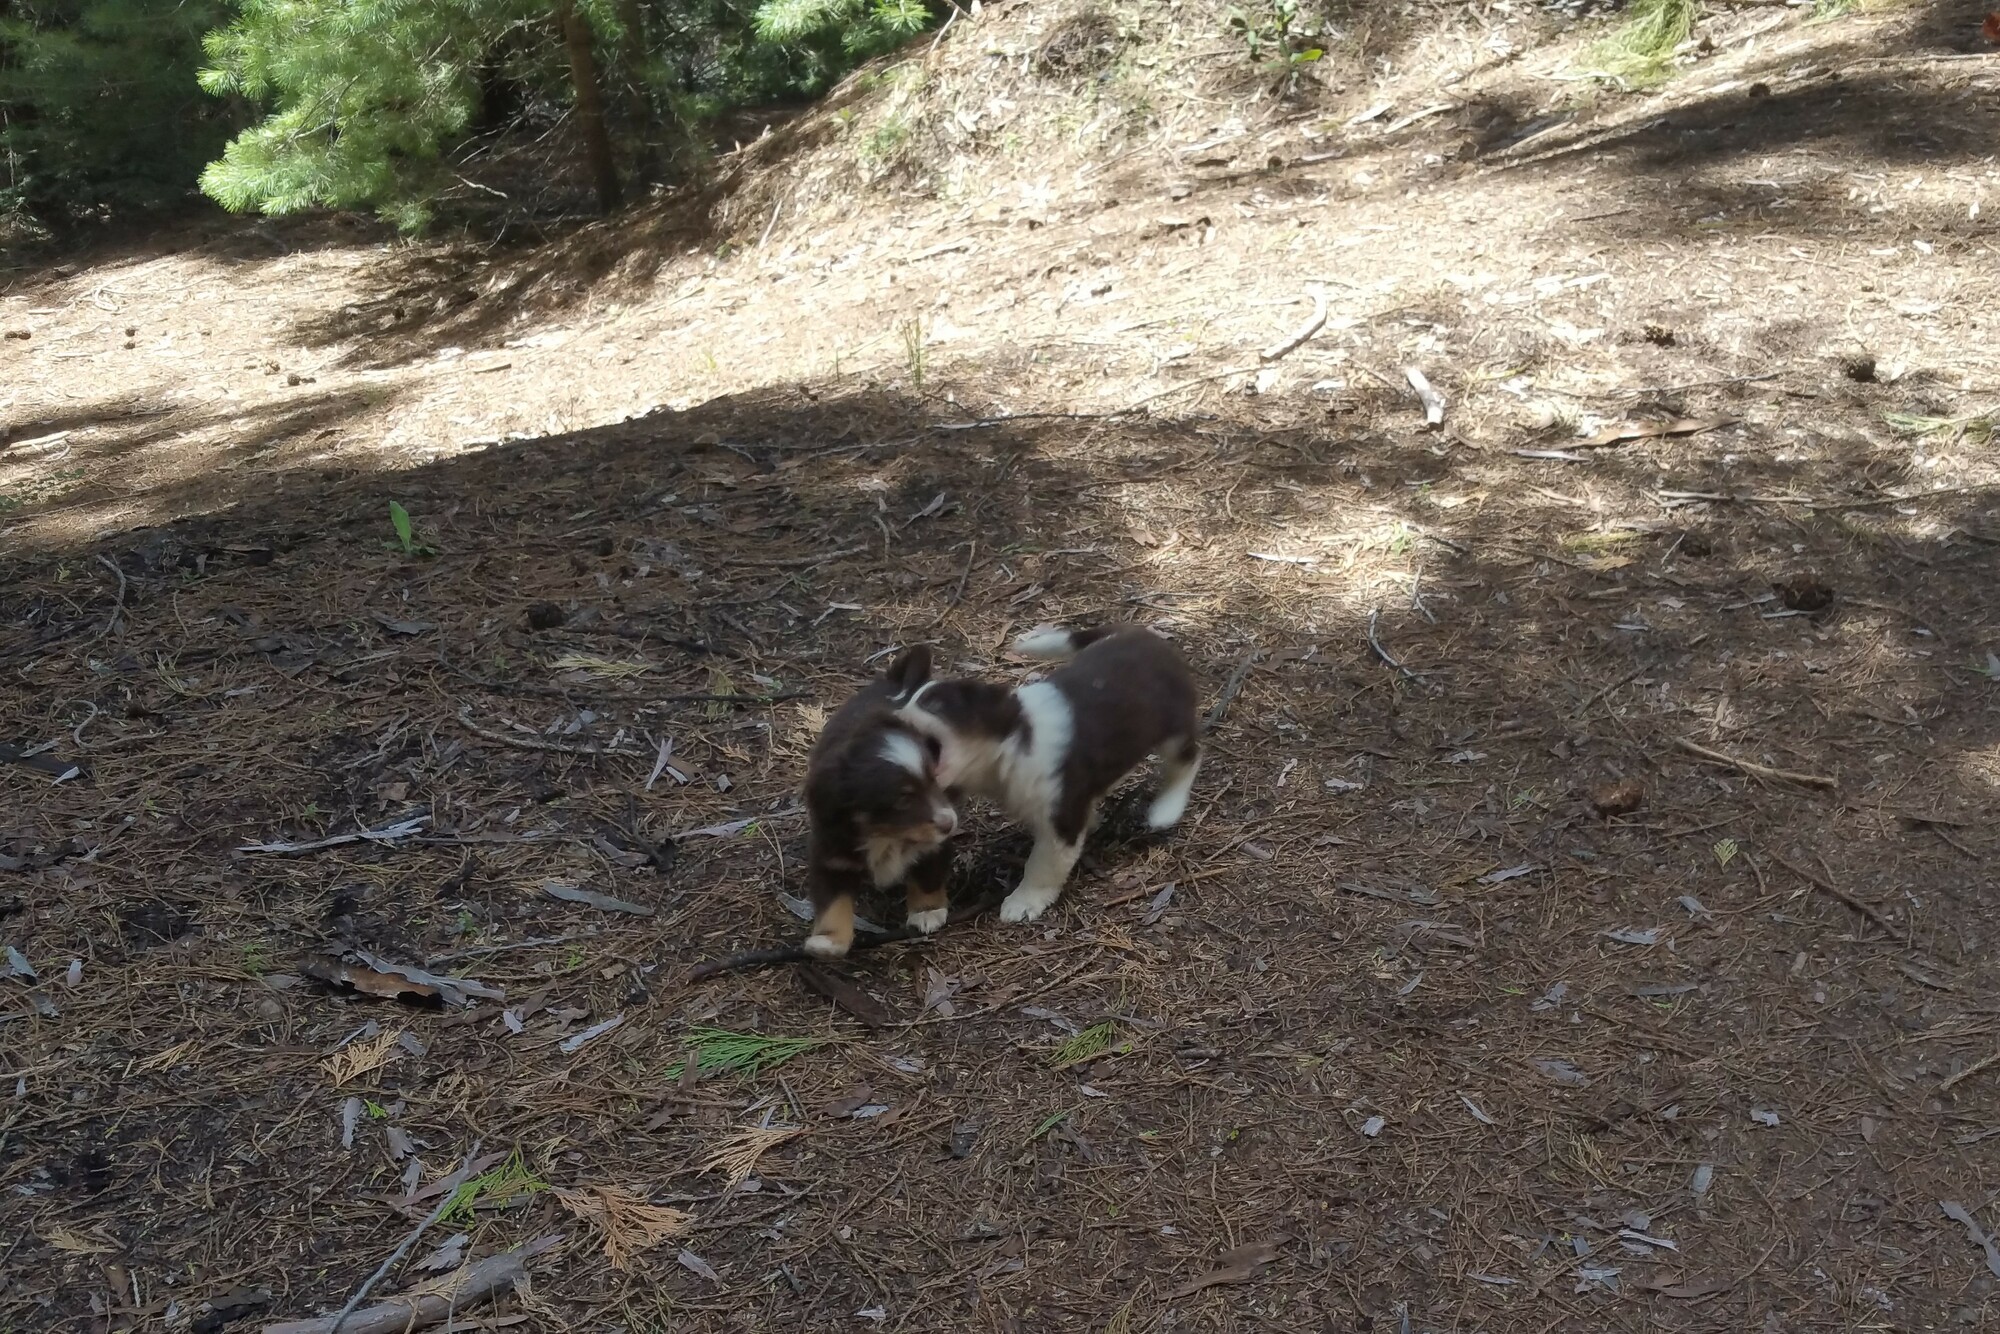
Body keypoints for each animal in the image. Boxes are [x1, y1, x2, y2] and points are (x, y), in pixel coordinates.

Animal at [796, 648, 960, 960]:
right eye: (903, 799)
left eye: (933, 780)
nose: (949, 823)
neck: (884, 834)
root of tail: (900, 684)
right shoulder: (831, 853)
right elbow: (833, 900)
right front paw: (829, 941)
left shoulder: (934, 843)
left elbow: (928, 872)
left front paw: (927, 911)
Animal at [900, 628, 1192, 928]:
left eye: (934, 703)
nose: (892, 717)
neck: (1013, 743)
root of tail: (1139, 632)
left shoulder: (1060, 817)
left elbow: (1042, 865)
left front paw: (1025, 901)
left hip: (1175, 728)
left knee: (1187, 760)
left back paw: (1167, 807)